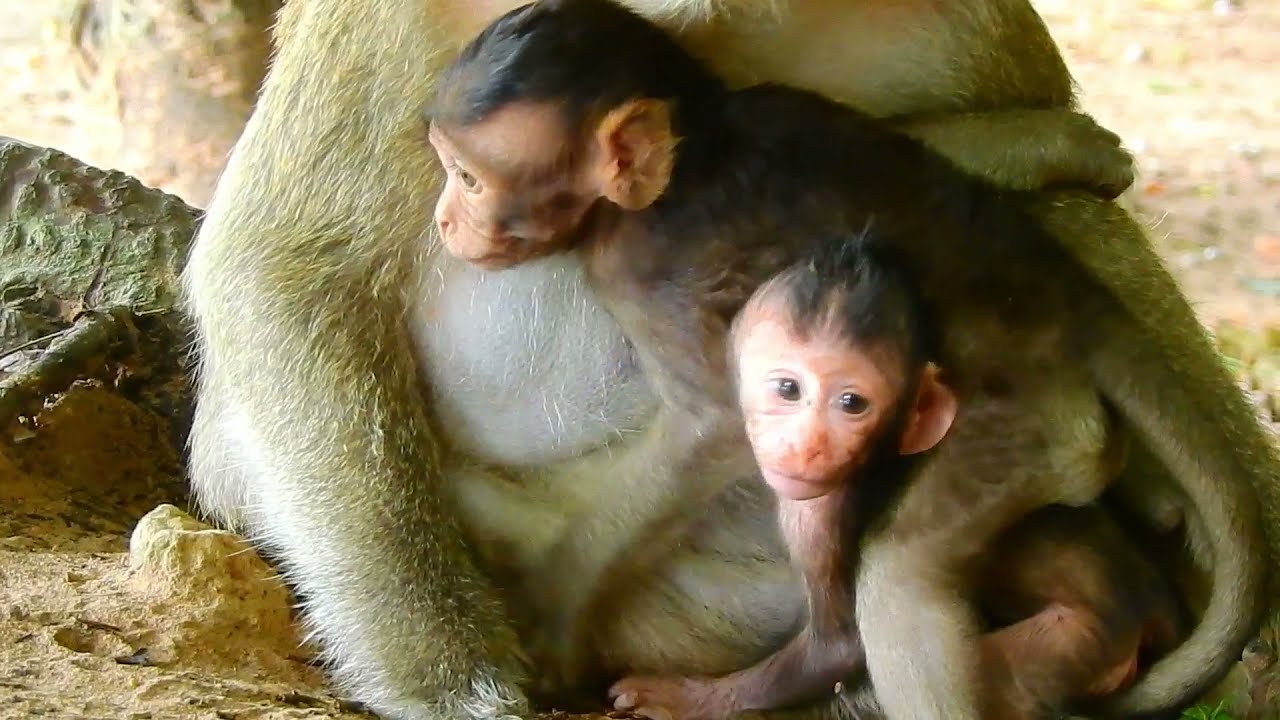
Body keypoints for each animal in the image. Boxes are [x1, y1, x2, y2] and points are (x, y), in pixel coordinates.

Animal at [603, 241, 1186, 720]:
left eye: (852, 402)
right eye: (788, 388)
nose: (810, 443)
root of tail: (1153, 604)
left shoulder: (816, 510)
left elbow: (839, 647)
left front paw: (685, 697)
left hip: (1077, 641)